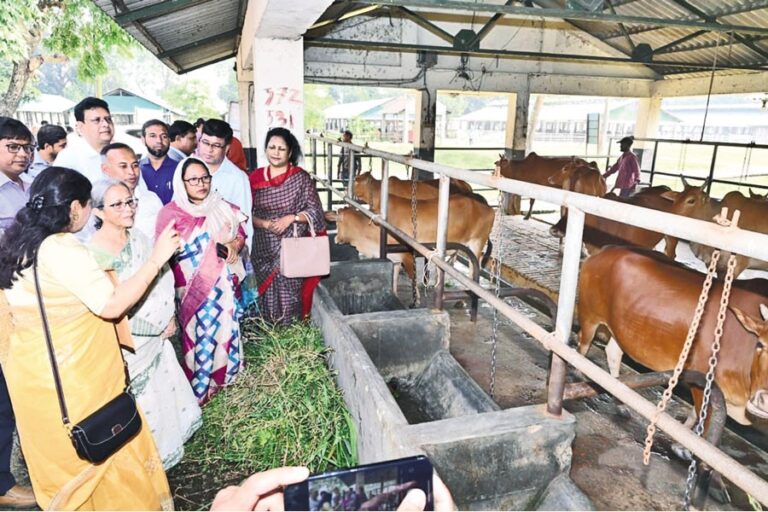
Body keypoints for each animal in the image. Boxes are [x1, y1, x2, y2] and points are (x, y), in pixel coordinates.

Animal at [580, 246, 768, 426]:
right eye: (761, 344)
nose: (764, 401)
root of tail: (606, 249)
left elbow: (695, 417)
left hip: (620, 328)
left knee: (613, 353)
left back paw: (620, 403)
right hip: (590, 317)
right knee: (582, 347)